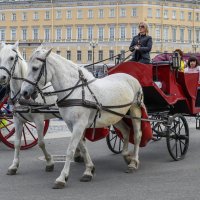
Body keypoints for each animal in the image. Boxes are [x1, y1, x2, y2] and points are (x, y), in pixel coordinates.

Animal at [0, 41, 84, 175]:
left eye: (11, 58)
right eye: (0, 57)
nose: (2, 77)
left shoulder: (38, 119)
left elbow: (41, 142)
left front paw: (49, 162)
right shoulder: (17, 119)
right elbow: (17, 143)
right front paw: (14, 165)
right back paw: (78, 154)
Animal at [21, 46, 145, 188]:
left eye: (35, 68)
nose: (24, 92)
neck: (76, 91)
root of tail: (130, 76)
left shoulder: (79, 125)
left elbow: (70, 149)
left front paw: (62, 178)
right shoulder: (71, 125)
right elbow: (83, 147)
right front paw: (89, 170)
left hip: (135, 111)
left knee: (137, 135)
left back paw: (134, 162)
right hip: (116, 116)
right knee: (126, 131)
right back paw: (126, 156)